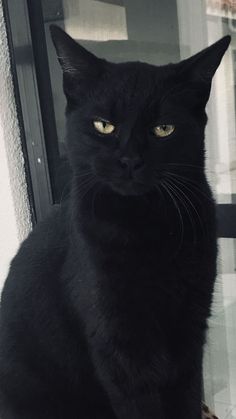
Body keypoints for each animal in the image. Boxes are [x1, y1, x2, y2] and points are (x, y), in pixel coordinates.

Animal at [0, 27, 230, 419]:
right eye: (103, 126)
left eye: (163, 129)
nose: (130, 160)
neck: (148, 228)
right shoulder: (121, 349)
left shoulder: (189, 331)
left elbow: (186, 398)